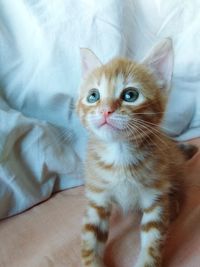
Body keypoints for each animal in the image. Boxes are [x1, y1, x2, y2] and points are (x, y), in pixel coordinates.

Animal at [76, 39, 188, 267]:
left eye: (130, 95)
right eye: (93, 96)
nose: (106, 110)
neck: (120, 157)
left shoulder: (155, 195)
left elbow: (153, 240)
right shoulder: (98, 198)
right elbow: (90, 239)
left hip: (174, 167)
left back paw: (174, 204)